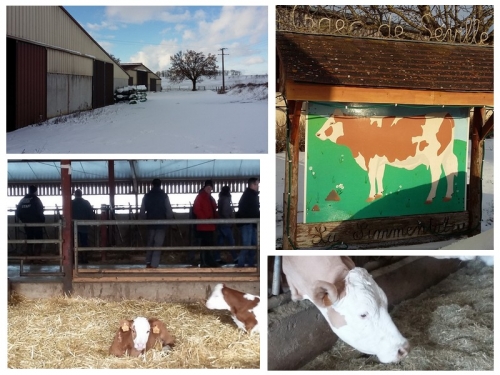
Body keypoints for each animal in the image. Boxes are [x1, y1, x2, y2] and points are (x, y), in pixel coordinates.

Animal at [316, 110, 458, 204]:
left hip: (435, 156)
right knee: (449, 171)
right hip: (446, 155)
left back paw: (429, 198)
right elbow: (379, 176)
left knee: (436, 174)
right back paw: (448, 196)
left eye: (332, 123)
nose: (317, 134)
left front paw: (371, 196)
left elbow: (371, 177)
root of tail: (445, 113)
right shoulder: (380, 161)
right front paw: (379, 194)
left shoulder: (371, 159)